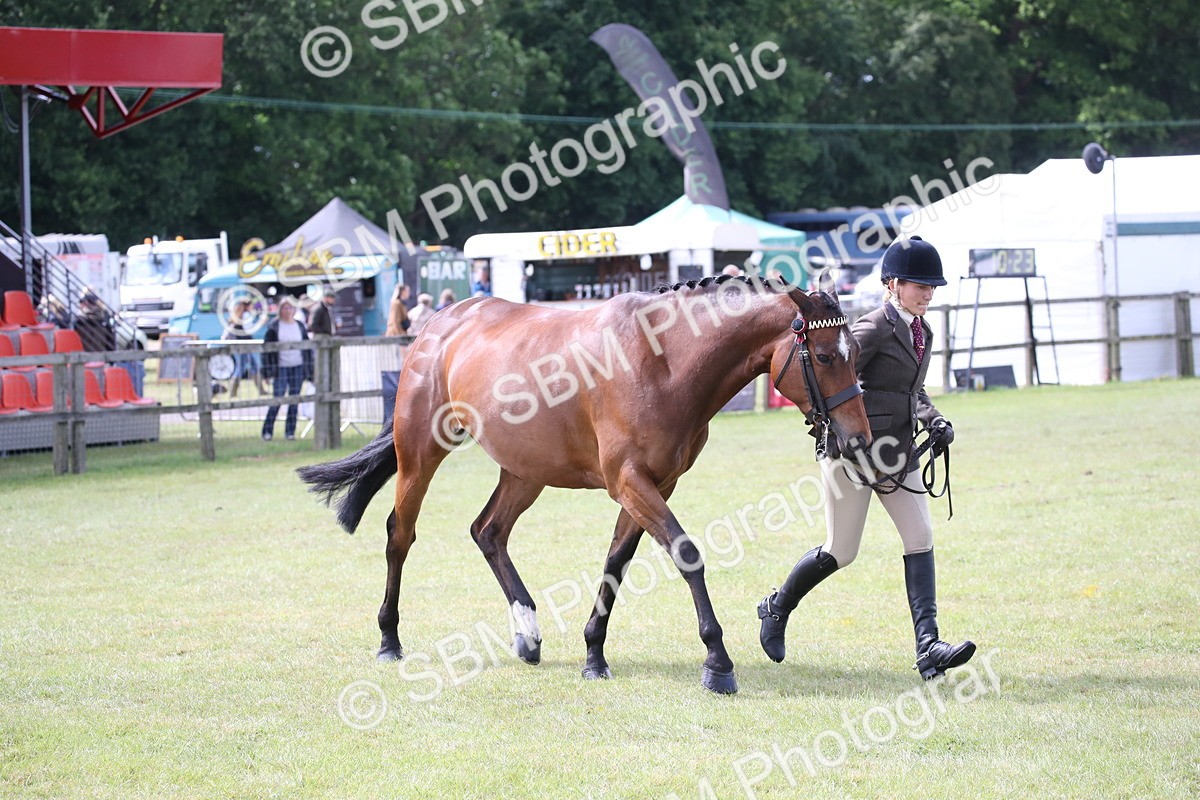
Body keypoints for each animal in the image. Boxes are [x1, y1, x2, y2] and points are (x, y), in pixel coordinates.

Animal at [297, 272, 872, 694]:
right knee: (401, 534)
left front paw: (594, 653)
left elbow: (617, 562)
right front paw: (717, 661)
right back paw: (389, 639)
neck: (664, 359)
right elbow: (687, 554)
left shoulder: (655, 484)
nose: (858, 438)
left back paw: (527, 634)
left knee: (488, 531)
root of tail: (441, 322)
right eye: (825, 357)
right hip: (421, 452)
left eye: (856, 354)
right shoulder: (630, 481)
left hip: (525, 471)